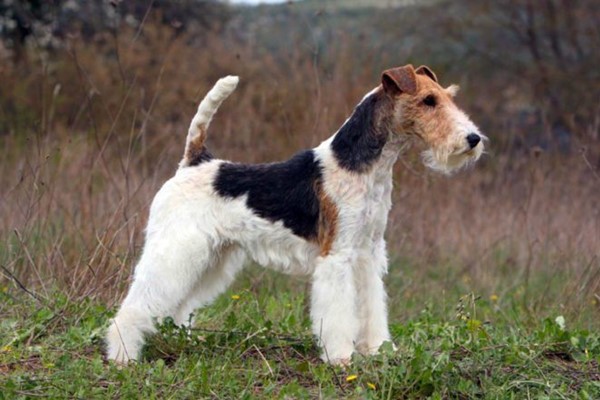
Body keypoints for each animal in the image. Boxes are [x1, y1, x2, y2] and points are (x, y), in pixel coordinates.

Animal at [106, 63, 482, 366]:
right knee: (138, 304)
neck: (362, 167)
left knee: (179, 305)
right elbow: (338, 313)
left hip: (212, 255)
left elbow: (372, 306)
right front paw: (341, 357)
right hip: (177, 248)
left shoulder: (368, 252)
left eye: (446, 97)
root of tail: (195, 160)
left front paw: (377, 349)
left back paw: (179, 339)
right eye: (428, 101)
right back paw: (123, 355)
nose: (473, 139)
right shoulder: (338, 255)